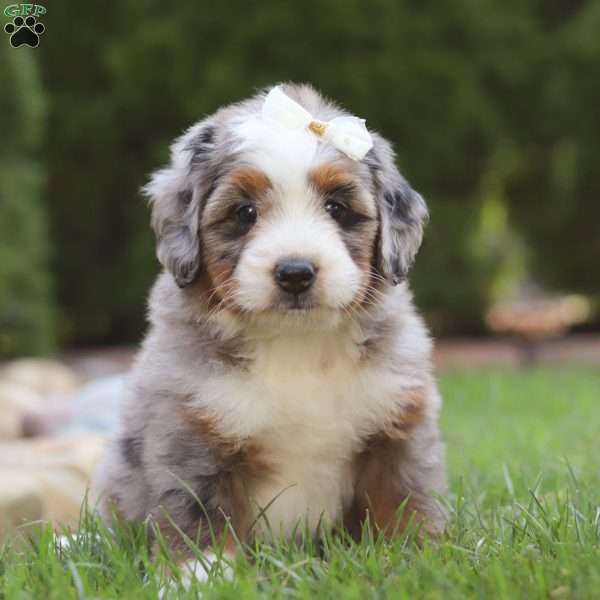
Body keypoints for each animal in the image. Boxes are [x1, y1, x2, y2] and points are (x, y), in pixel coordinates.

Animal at [92, 82, 446, 584]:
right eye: (245, 213)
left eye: (337, 208)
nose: (295, 272)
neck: (296, 345)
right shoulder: (192, 430)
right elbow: (201, 510)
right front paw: (200, 577)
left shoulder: (397, 424)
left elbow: (401, 499)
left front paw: (412, 561)